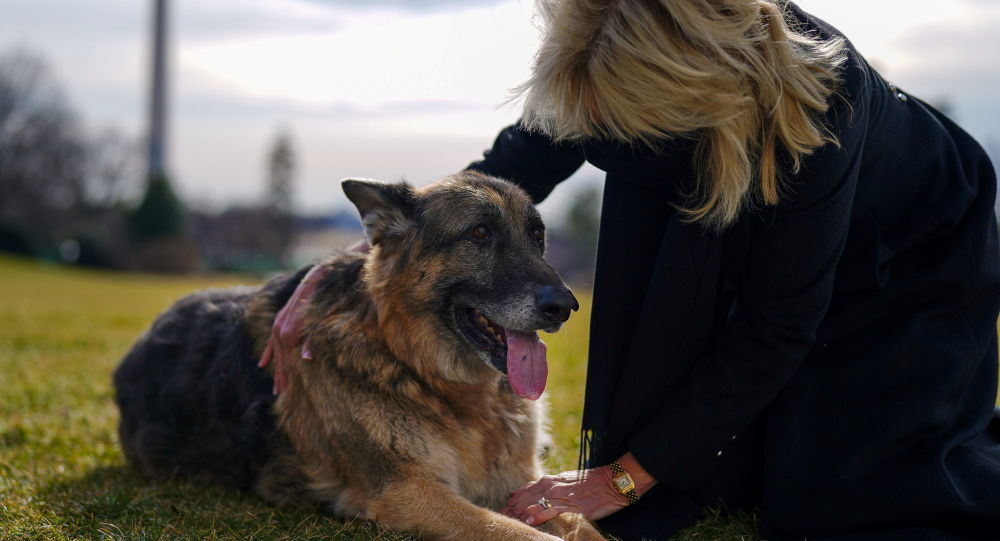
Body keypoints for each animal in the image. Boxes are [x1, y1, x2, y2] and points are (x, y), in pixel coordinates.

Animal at [113, 173, 604, 540]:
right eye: (480, 233)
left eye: (537, 235)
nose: (565, 306)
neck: (418, 368)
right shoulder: (409, 492)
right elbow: (520, 533)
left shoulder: (523, 482)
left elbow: (581, 525)